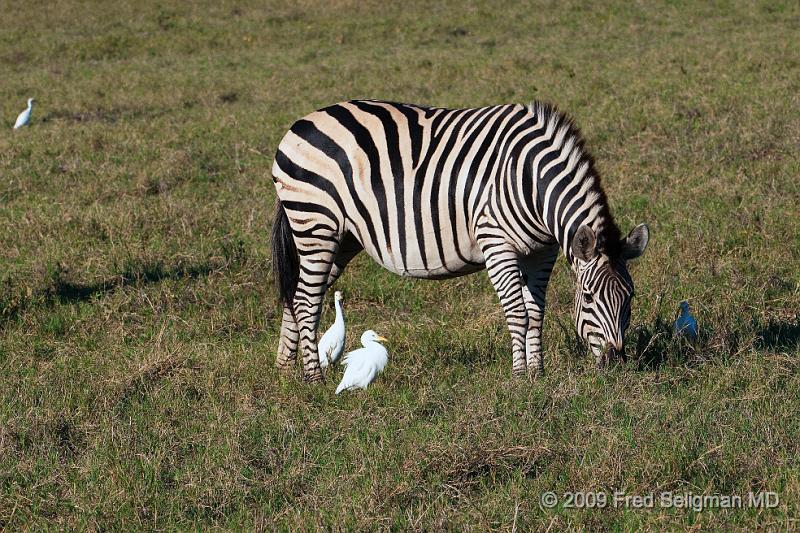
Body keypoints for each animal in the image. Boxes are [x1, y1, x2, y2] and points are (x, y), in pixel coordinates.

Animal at [272, 101, 648, 382]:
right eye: (590, 297)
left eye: (630, 297)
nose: (616, 362)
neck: (532, 183)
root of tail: (302, 122)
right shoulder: (496, 242)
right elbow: (518, 313)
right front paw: (519, 378)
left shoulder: (542, 251)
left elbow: (536, 312)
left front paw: (538, 373)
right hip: (316, 223)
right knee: (306, 299)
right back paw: (313, 378)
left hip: (342, 237)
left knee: (300, 295)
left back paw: (286, 370)